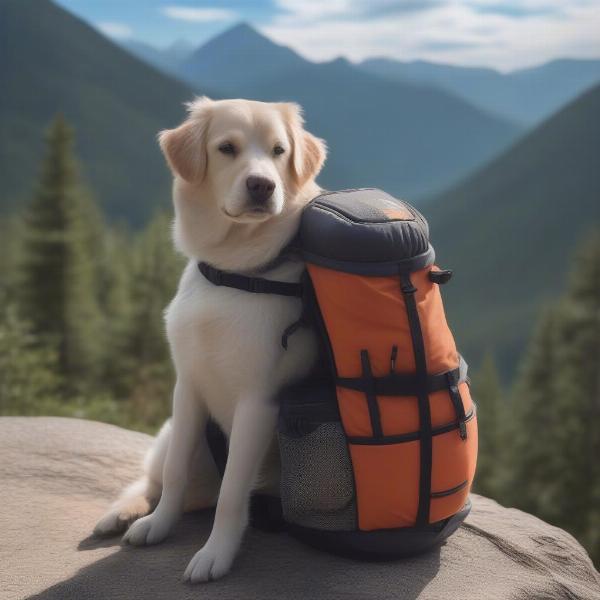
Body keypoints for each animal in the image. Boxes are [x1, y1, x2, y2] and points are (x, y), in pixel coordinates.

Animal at [94, 97, 328, 580]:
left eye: (279, 151)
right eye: (226, 148)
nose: (262, 185)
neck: (233, 274)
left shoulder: (258, 404)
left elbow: (232, 494)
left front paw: (215, 553)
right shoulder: (187, 388)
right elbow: (175, 475)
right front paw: (158, 525)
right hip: (172, 434)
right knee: (156, 478)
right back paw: (124, 512)